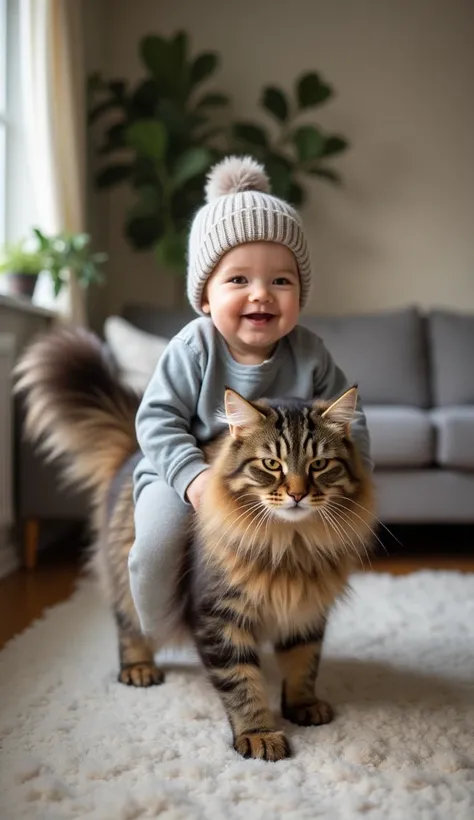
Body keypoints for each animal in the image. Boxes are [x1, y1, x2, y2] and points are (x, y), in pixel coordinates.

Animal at [14, 328, 376, 764]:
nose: (297, 494)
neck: (289, 545)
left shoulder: (307, 613)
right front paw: (259, 735)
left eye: (319, 465)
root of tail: (134, 452)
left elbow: (303, 665)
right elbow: (242, 684)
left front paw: (303, 706)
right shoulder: (218, 615)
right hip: (136, 571)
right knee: (127, 618)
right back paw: (138, 667)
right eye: (272, 465)